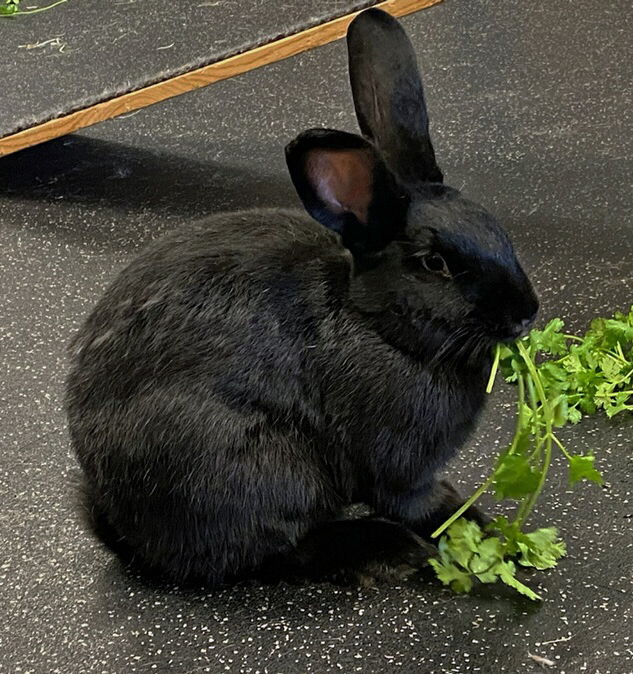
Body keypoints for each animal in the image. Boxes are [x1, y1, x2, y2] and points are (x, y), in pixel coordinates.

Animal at [64, 9, 540, 588]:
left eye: (494, 227)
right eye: (436, 264)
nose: (526, 315)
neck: (376, 325)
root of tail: (128, 534)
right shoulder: (397, 466)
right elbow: (417, 501)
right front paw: (472, 523)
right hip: (263, 470)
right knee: (273, 552)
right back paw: (383, 550)